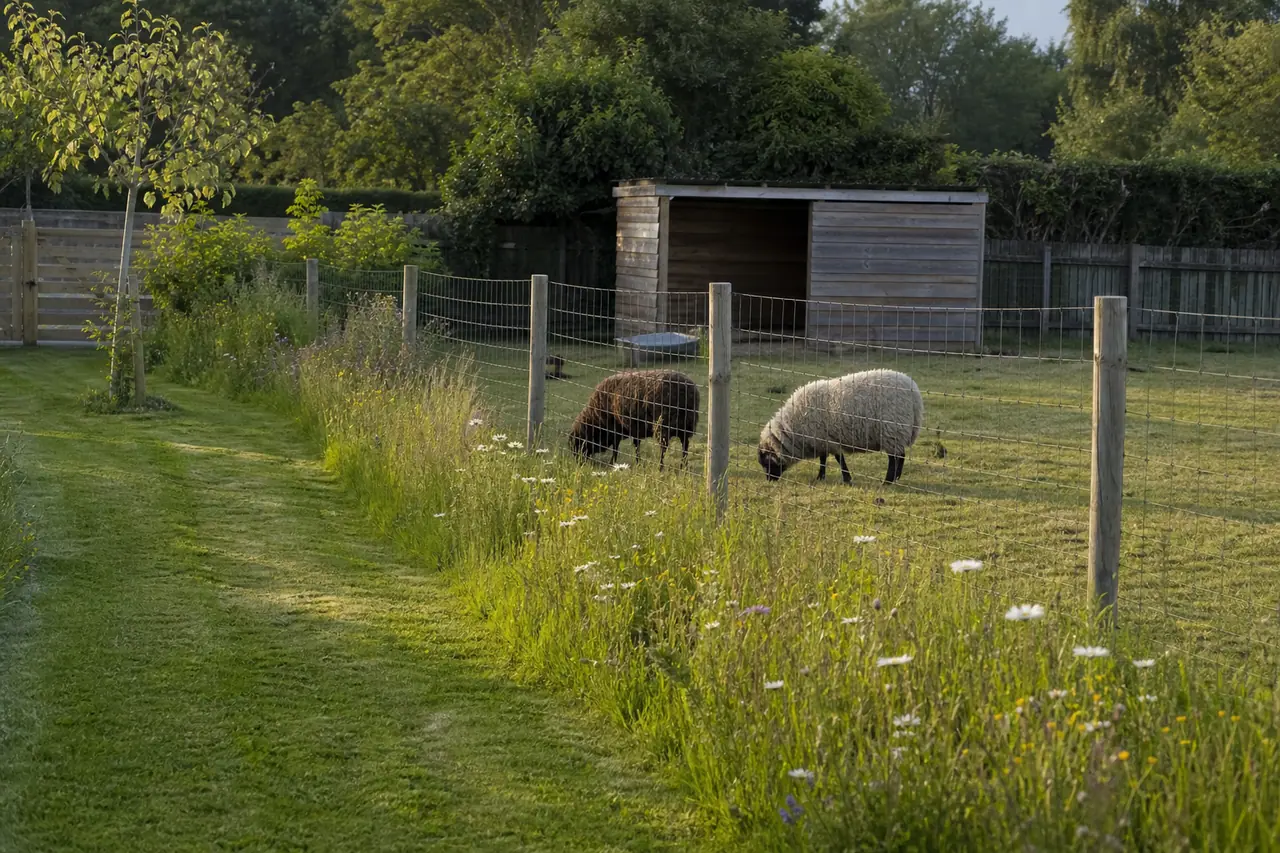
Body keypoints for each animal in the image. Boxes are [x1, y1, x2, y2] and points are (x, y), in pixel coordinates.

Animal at [569, 370, 700, 470]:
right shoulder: (631, 429)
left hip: (663, 425)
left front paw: (614, 463)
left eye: (578, 442)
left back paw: (661, 468)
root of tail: (687, 388)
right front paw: (637, 463)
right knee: (685, 446)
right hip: (686, 425)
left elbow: (619, 448)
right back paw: (683, 467)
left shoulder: (619, 428)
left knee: (664, 448)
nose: (579, 463)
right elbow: (634, 445)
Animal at [757, 368, 924, 485]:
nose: (769, 481)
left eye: (766, 463)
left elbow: (838, 458)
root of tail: (914, 393)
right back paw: (895, 478)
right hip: (896, 432)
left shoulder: (827, 439)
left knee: (895, 458)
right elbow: (824, 458)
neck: (792, 428)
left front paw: (846, 478)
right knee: (900, 456)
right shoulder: (823, 439)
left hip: (893, 430)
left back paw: (888, 481)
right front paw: (821, 477)